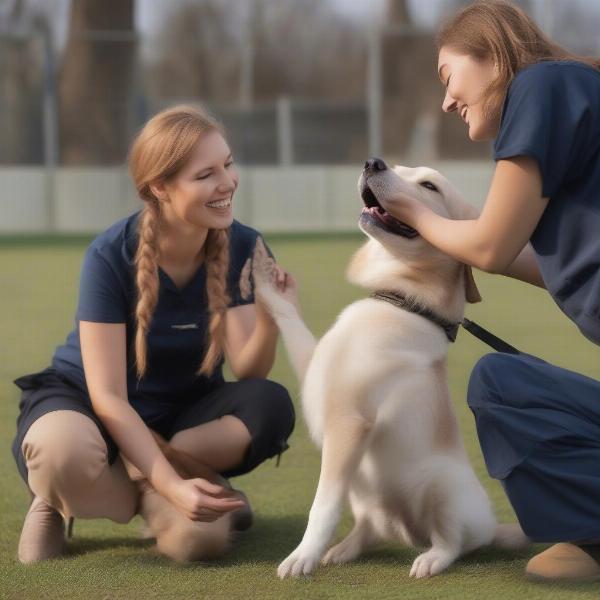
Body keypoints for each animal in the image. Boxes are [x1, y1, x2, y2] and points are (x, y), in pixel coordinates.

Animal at [251, 158, 528, 576]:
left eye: (429, 185)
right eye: (398, 166)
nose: (373, 162)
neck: (402, 303)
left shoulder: (350, 423)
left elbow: (322, 507)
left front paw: (302, 556)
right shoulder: (314, 371)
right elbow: (290, 316)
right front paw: (269, 281)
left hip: (442, 487)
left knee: (454, 543)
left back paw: (430, 559)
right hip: (365, 496)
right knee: (370, 528)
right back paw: (344, 549)